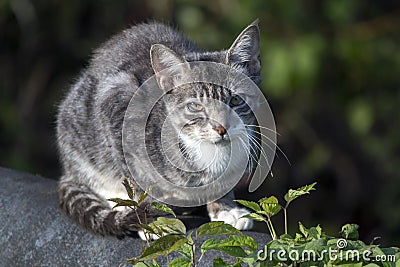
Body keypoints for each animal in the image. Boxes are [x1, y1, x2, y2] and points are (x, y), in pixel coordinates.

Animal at [57, 21, 262, 239]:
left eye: (236, 100)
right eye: (195, 106)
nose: (221, 127)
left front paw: (226, 208)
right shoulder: (116, 103)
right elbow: (139, 181)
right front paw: (152, 220)